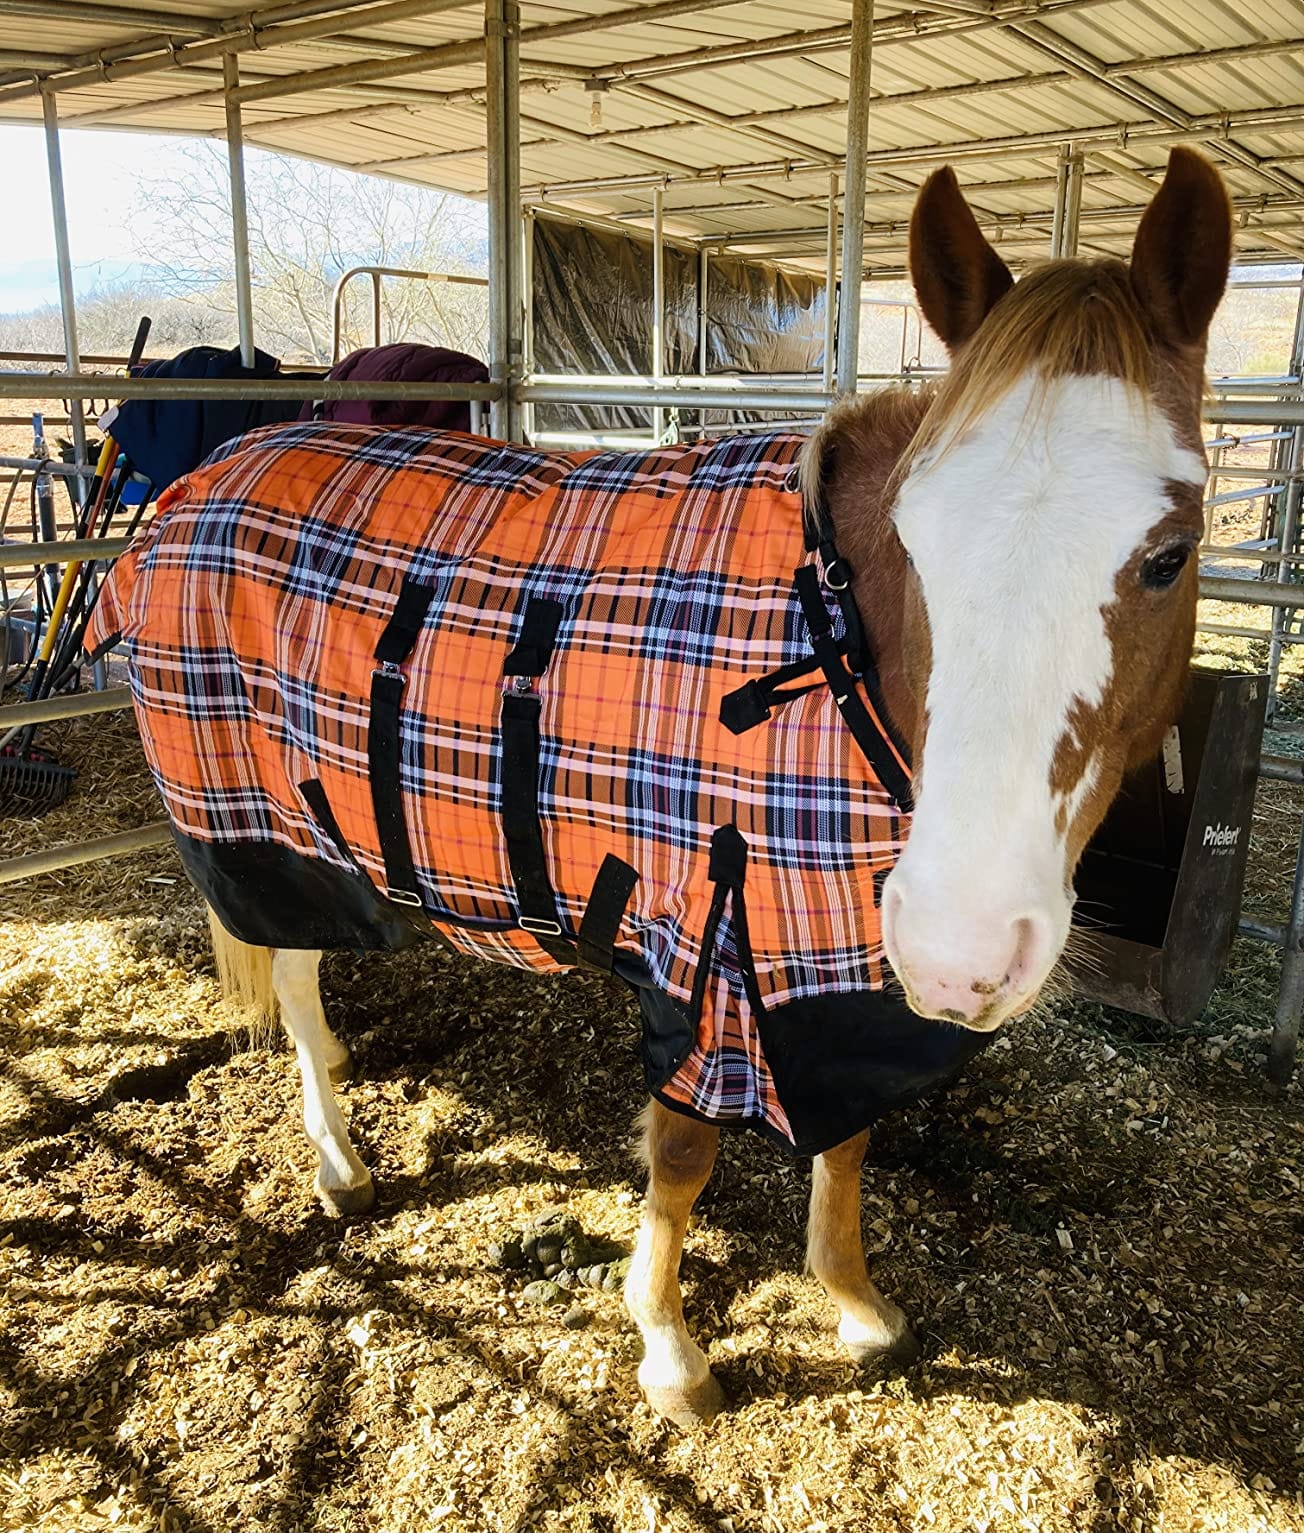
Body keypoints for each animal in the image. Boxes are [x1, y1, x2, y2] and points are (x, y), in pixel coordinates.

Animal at [87, 146, 1231, 1428]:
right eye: (914, 539)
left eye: (1168, 555)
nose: (960, 947)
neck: (822, 646)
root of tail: (204, 482)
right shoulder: (705, 948)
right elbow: (683, 1163)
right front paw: (670, 1351)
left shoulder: (832, 974)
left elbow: (845, 1144)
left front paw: (852, 1305)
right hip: (262, 829)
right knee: (288, 977)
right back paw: (337, 1161)